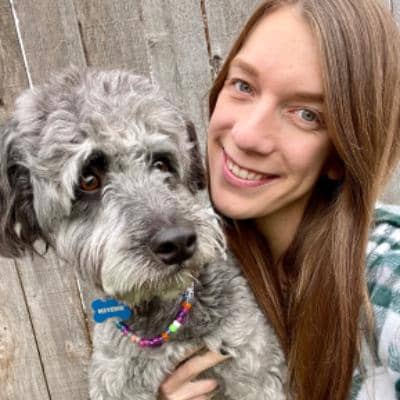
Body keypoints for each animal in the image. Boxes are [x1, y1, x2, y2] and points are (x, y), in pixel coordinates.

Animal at [0, 68, 287, 399]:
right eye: (88, 180)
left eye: (161, 162)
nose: (178, 242)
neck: (162, 317)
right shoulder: (116, 383)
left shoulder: (255, 369)